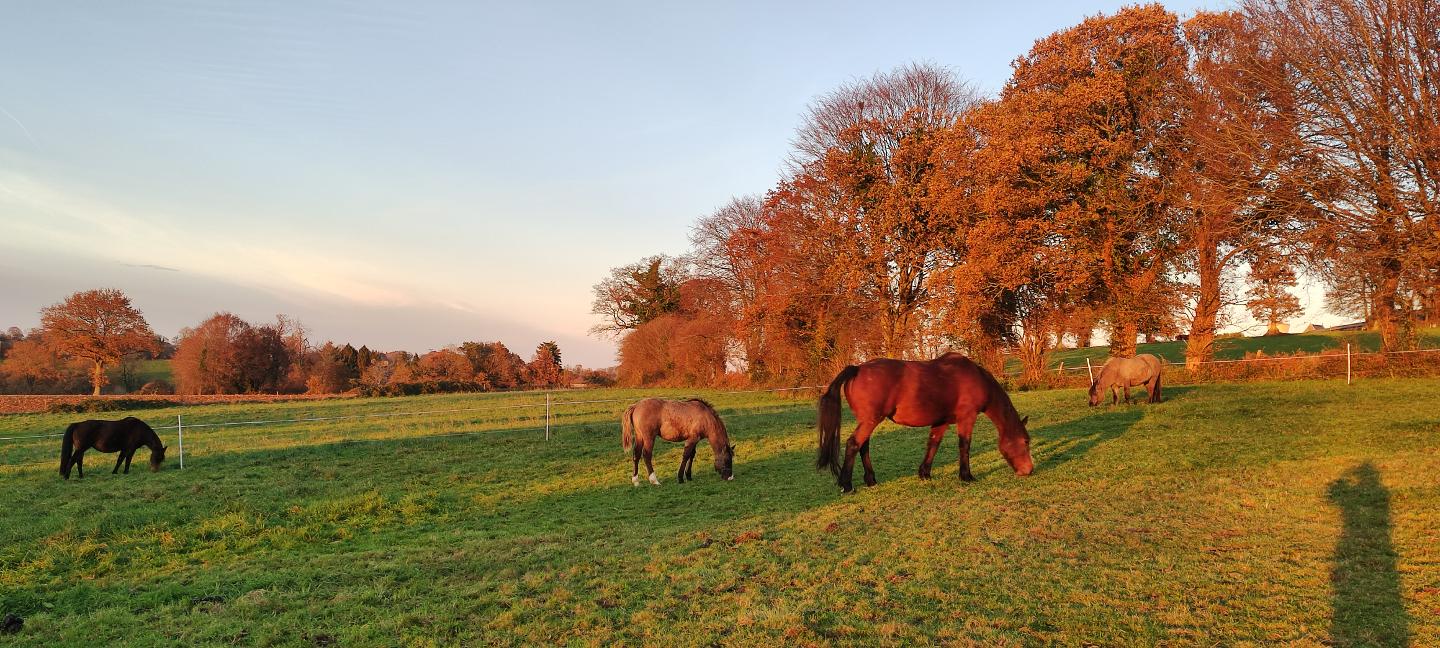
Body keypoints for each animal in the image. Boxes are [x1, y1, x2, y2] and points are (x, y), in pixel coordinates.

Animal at [817, 351, 1031, 492]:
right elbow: (964, 445)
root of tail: (857, 368)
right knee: (854, 444)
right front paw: (966, 476)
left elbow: (933, 444)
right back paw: (846, 484)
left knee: (863, 446)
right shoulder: (967, 418)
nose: (1028, 470)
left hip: (867, 421)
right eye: (1026, 442)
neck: (975, 378)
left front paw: (925, 473)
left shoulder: (942, 421)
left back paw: (870, 480)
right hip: (870, 421)